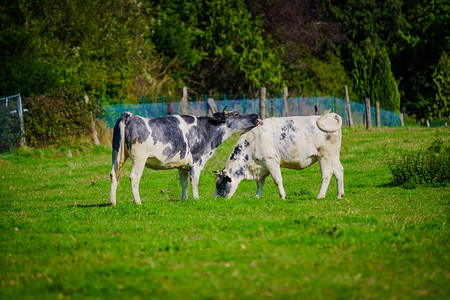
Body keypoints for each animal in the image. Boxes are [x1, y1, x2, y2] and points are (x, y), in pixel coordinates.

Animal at [109, 109, 262, 205]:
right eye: (236, 113)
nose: (255, 115)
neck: (208, 132)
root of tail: (129, 115)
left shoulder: (182, 165)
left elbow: (184, 183)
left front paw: (184, 199)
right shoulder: (197, 161)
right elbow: (195, 182)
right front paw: (196, 199)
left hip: (117, 155)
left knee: (114, 175)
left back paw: (112, 202)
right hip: (139, 158)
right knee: (134, 178)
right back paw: (138, 202)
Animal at [214, 111, 344, 200]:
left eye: (221, 184)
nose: (219, 199)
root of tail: (331, 116)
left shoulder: (271, 161)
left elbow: (277, 180)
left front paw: (283, 196)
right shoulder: (261, 166)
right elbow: (260, 183)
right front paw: (257, 196)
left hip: (324, 156)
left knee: (327, 174)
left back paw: (320, 196)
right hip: (334, 156)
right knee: (339, 171)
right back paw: (339, 195)